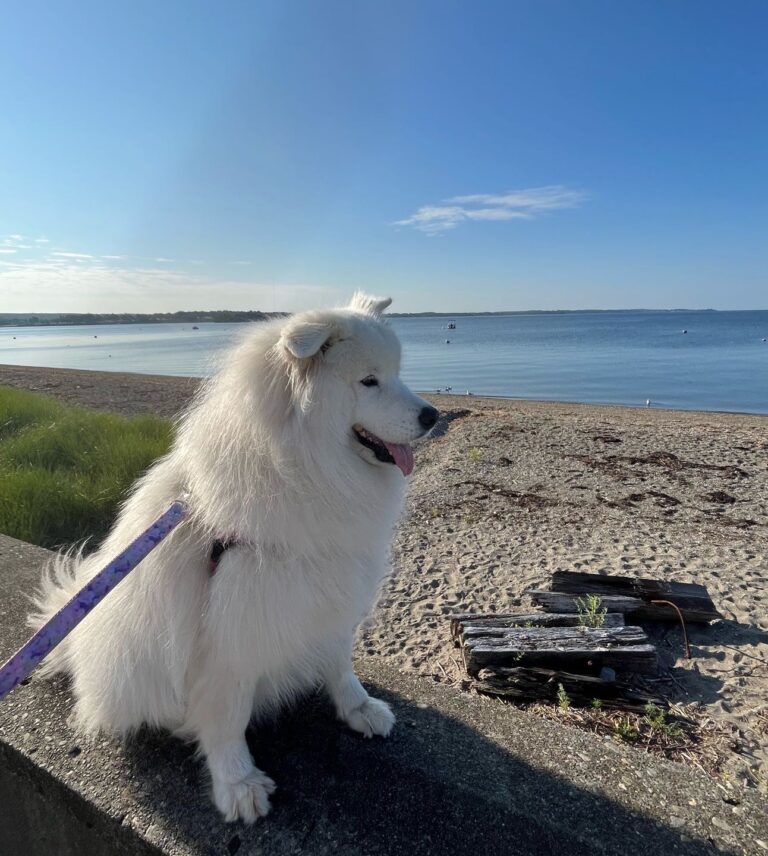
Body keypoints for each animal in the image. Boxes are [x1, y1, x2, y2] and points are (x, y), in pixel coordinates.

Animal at [28, 292, 438, 824]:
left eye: (398, 374)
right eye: (369, 381)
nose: (433, 415)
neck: (309, 469)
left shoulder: (328, 591)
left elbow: (339, 662)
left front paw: (359, 708)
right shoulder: (230, 627)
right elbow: (227, 717)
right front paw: (238, 783)